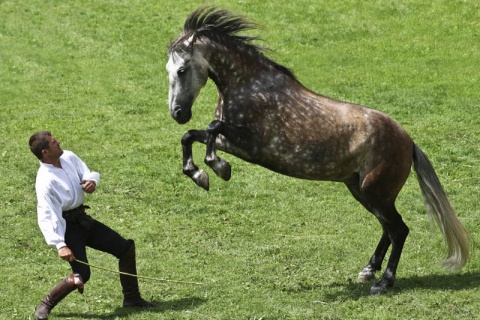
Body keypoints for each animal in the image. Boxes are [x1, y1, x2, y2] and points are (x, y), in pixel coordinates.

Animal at [165, 6, 468, 296]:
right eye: (168, 71)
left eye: (182, 70)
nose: (177, 113)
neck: (250, 87)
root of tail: (409, 142)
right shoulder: (236, 144)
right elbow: (192, 135)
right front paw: (201, 174)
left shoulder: (253, 143)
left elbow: (211, 127)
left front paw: (217, 168)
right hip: (362, 190)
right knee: (388, 228)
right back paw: (368, 270)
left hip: (375, 192)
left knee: (399, 230)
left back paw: (383, 283)